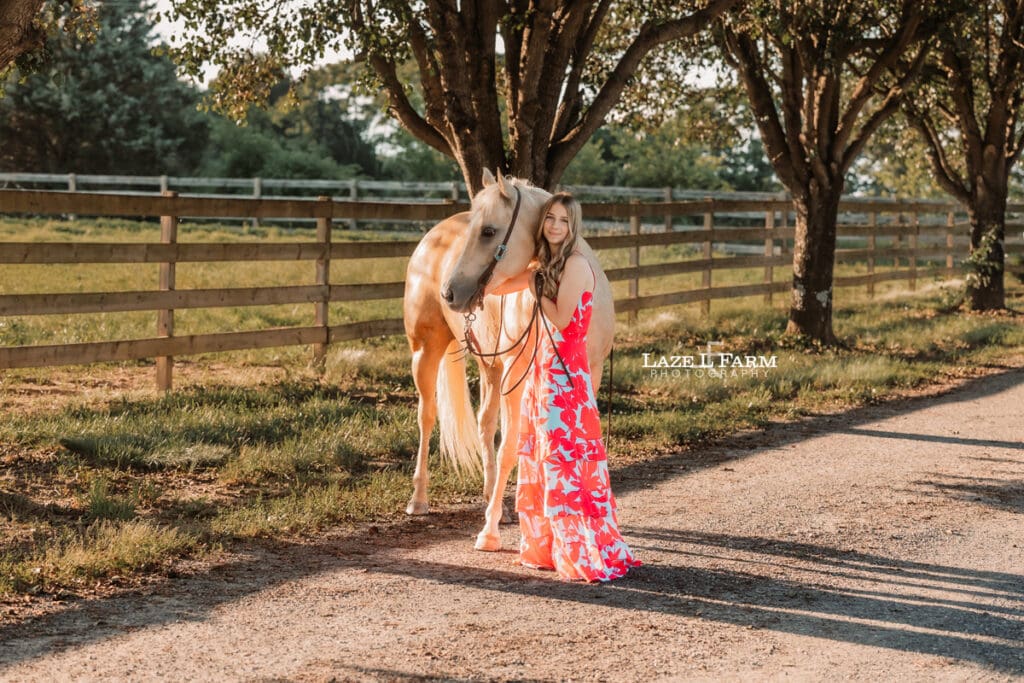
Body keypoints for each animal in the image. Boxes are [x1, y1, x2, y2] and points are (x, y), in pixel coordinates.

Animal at [402, 170, 615, 551]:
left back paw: (493, 501)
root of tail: (433, 236)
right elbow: (510, 448)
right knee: (427, 417)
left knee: (485, 425)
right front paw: (489, 533)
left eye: (489, 231)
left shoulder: (589, 373)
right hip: (426, 351)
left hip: (491, 368)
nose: (450, 293)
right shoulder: (516, 376)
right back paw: (420, 500)